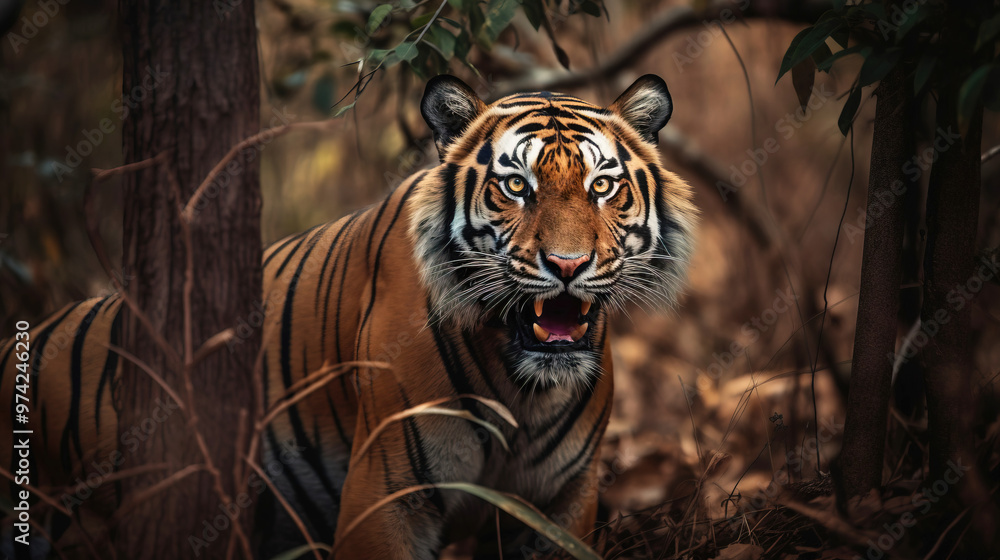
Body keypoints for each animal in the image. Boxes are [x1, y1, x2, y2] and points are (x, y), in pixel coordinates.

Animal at [0, 74, 697, 559]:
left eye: (602, 186)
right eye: (516, 186)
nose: (568, 264)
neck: (522, 389)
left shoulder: (562, 506)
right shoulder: (386, 498)